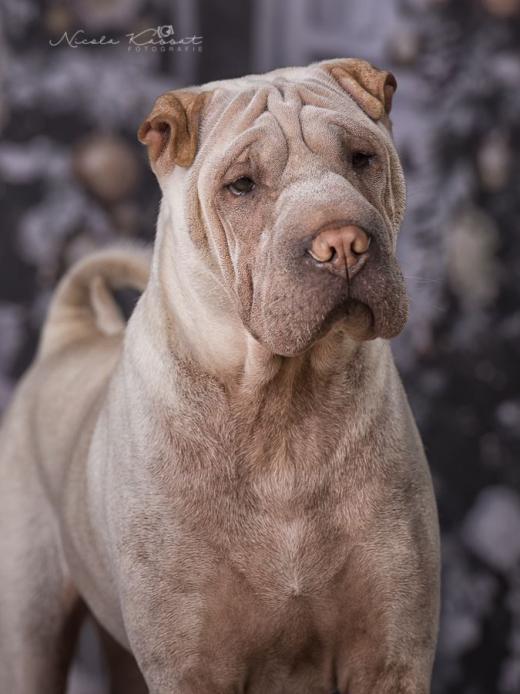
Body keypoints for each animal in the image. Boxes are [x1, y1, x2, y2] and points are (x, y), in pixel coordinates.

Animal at [0, 58, 440, 693]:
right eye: (242, 185)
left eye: (361, 157)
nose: (343, 243)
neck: (282, 409)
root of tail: (70, 332)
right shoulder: (192, 663)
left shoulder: (390, 652)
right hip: (29, 637)